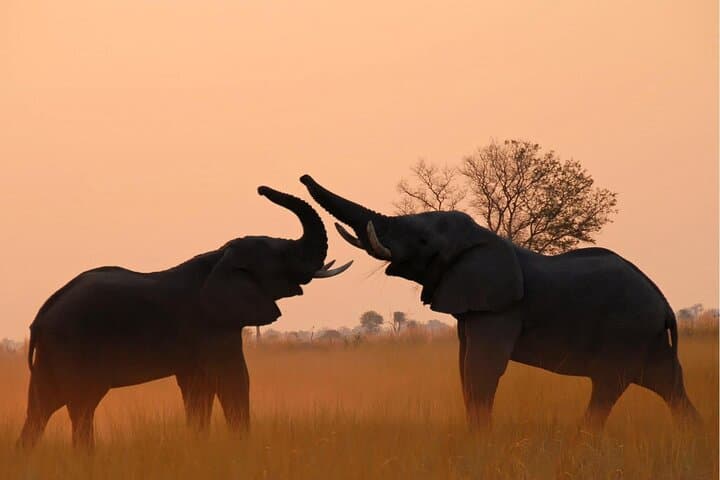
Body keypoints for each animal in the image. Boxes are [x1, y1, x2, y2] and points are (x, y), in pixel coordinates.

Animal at [17, 186, 351, 449]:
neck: (220, 256)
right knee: (81, 404)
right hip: (76, 345)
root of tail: (43, 313)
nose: (261, 189)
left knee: (42, 406)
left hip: (53, 351)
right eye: (283, 255)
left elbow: (198, 390)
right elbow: (234, 379)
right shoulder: (213, 326)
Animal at [300, 174, 701, 430]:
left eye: (424, 240)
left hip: (626, 330)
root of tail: (664, 302)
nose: (303, 177)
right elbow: (465, 367)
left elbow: (482, 368)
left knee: (610, 385)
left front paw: (479, 443)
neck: (480, 238)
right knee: (668, 383)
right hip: (646, 337)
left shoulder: (499, 309)